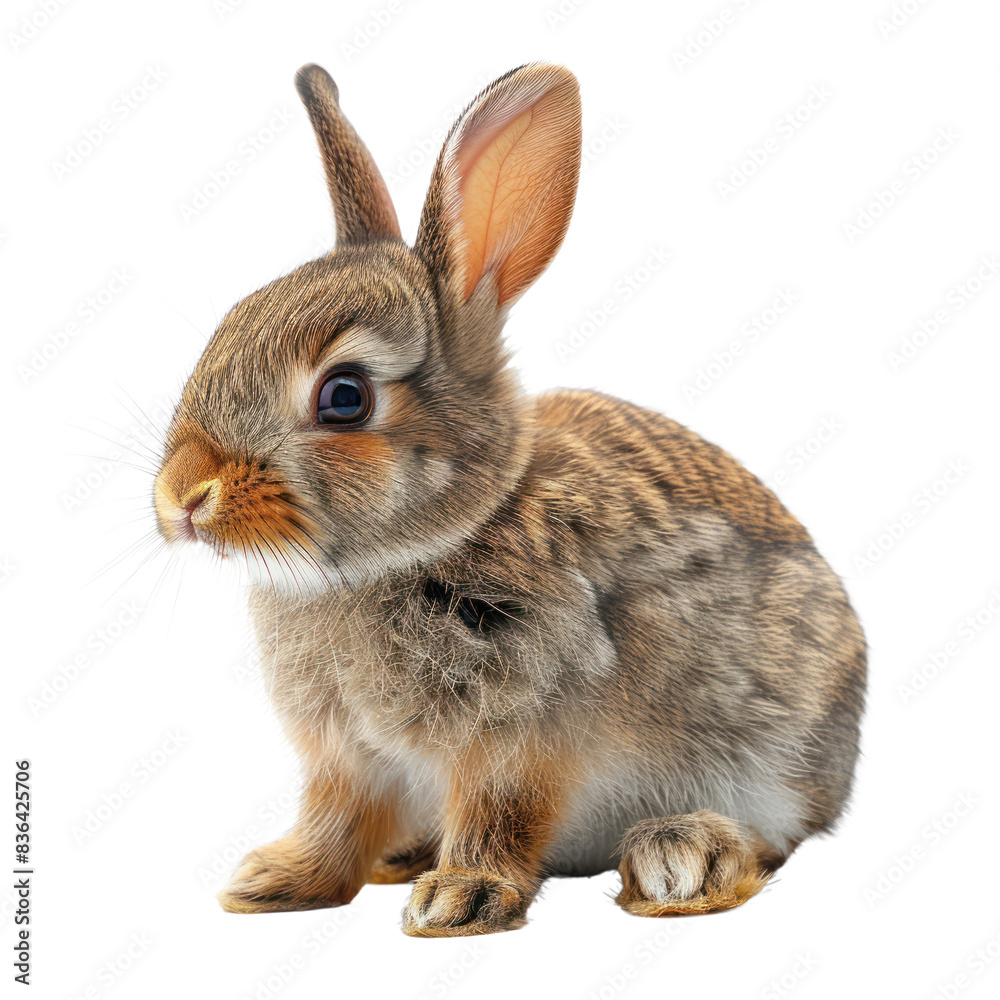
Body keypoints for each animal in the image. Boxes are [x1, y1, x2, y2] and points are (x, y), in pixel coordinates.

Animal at [152, 62, 866, 937]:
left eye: (344, 397)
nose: (182, 497)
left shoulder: (521, 736)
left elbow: (501, 812)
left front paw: (459, 899)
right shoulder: (349, 760)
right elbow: (336, 820)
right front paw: (274, 882)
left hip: (771, 755)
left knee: (773, 836)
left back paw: (683, 859)